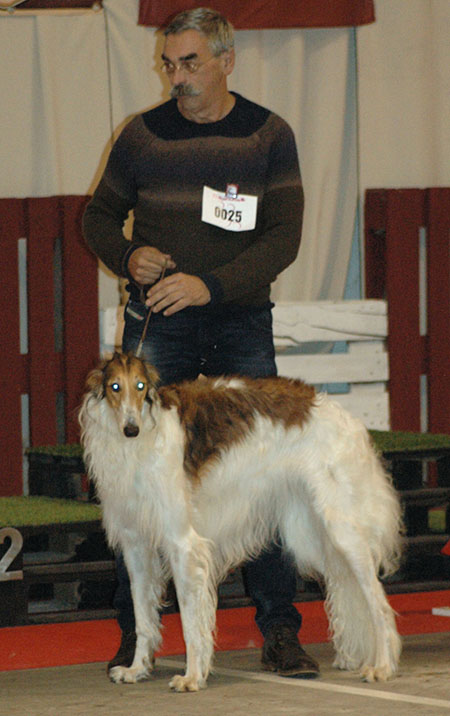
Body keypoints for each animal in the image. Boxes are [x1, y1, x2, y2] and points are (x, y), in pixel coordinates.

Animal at [79, 352, 403, 692]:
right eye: (115, 387)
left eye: (140, 386)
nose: (131, 429)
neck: (141, 441)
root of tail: (347, 418)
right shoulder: (136, 546)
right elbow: (143, 618)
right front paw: (136, 668)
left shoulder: (183, 543)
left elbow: (190, 624)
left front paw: (192, 676)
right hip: (312, 535)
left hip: (343, 531)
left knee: (379, 604)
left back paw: (382, 666)